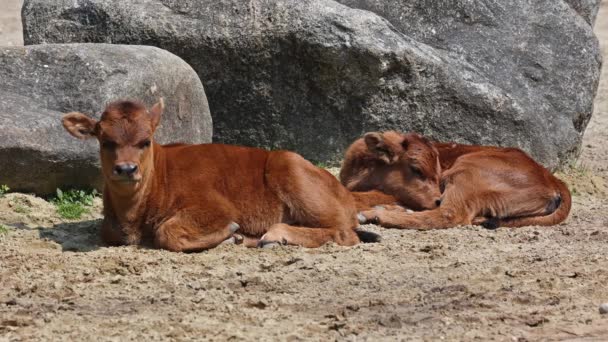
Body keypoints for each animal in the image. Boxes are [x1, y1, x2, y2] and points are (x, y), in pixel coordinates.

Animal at [63, 99, 376, 251]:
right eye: (106, 141)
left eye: (145, 141)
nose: (126, 169)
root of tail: (340, 188)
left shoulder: (215, 208)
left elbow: (168, 233)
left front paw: (231, 235)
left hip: (292, 172)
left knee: (343, 233)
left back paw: (274, 235)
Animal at [342, 131, 568, 230]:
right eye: (416, 169)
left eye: (437, 172)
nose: (437, 199)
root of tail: (553, 179)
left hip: (465, 171)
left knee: (449, 215)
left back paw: (375, 214)